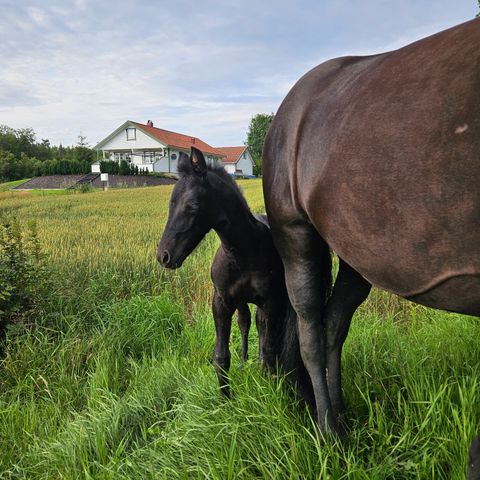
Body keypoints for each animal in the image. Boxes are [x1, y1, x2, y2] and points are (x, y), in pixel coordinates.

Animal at [262, 18, 480, 436]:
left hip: (355, 256)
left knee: (333, 326)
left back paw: (341, 415)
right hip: (295, 237)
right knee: (310, 333)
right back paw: (328, 431)